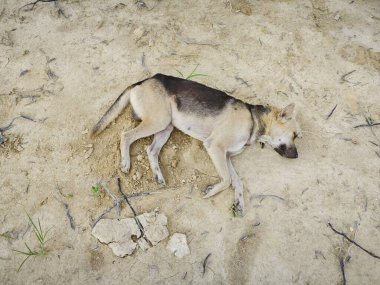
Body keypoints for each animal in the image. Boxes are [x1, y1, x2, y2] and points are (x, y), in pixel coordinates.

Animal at [91, 72, 300, 213]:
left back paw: (158, 175)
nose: (297, 156)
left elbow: (237, 182)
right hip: (158, 121)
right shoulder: (215, 147)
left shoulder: (226, 156)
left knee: (151, 150)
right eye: (295, 134)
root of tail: (142, 81)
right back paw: (126, 162)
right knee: (125, 136)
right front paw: (211, 191)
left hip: (166, 126)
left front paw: (240, 203)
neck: (253, 119)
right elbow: (226, 180)